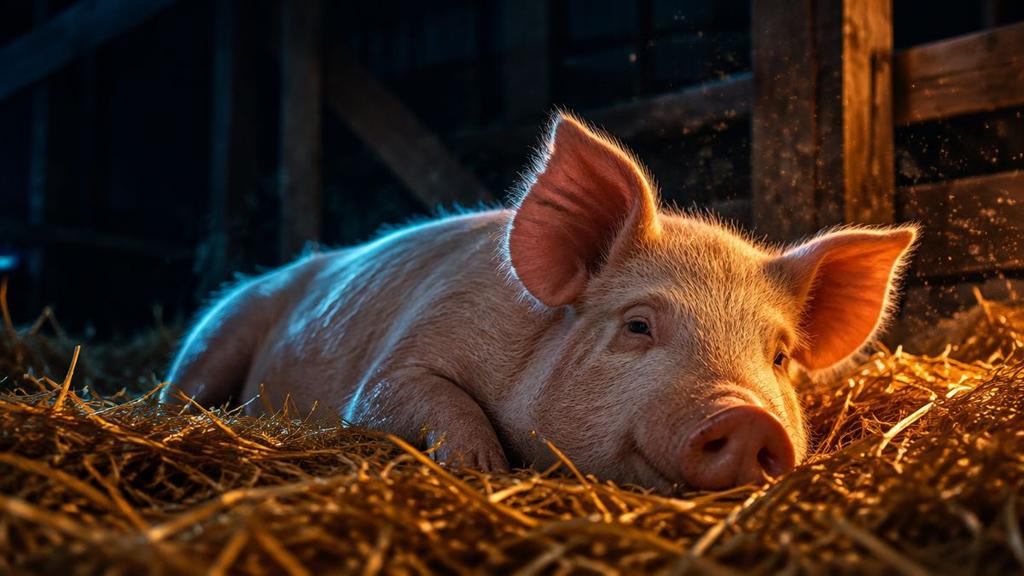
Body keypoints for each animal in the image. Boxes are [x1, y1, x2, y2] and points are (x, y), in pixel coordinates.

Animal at [163, 112, 917, 491]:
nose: (752, 418)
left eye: (781, 357)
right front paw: (481, 467)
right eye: (637, 325)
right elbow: (407, 394)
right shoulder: (403, 357)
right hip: (220, 329)